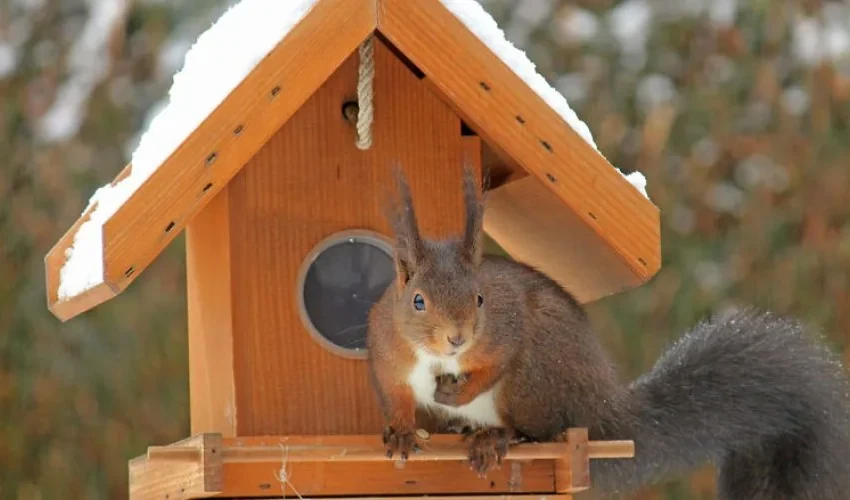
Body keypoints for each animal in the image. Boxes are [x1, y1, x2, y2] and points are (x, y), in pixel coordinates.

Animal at [365, 166, 850, 499]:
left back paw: (494, 437)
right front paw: (404, 431)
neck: (437, 358)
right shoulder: (387, 353)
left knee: (539, 430)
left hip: (536, 379)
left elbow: (496, 362)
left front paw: (455, 393)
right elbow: (397, 393)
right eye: (418, 301)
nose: (458, 338)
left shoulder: (506, 331)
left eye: (481, 298)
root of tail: (599, 410)